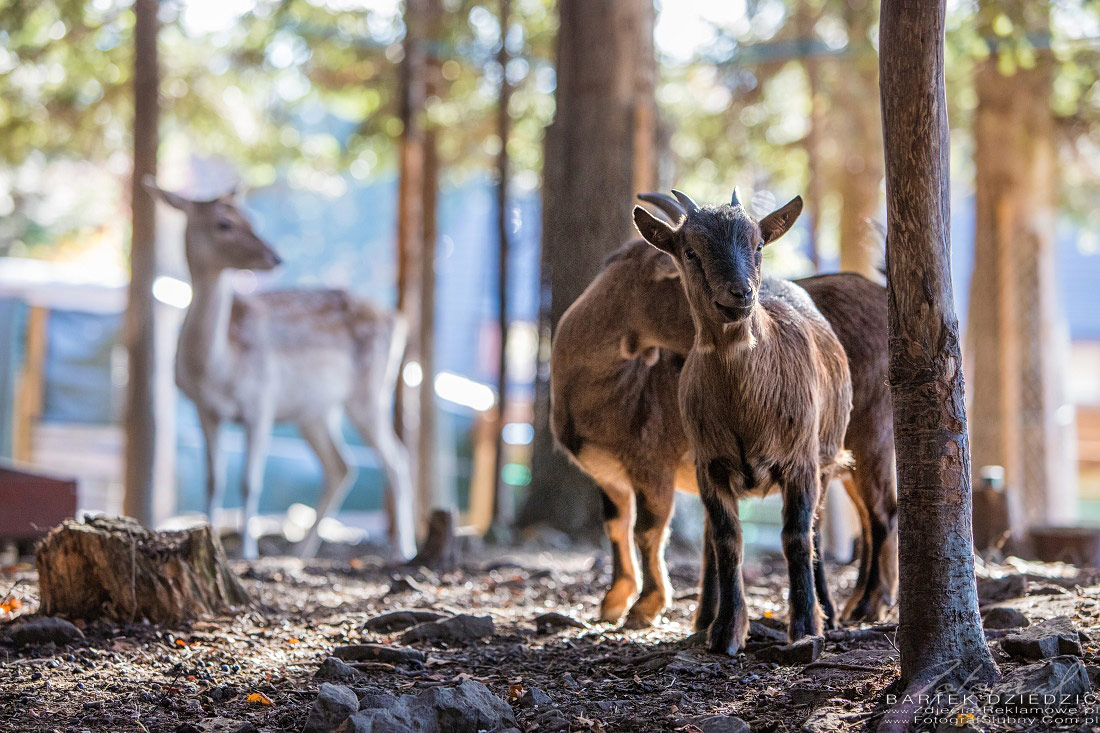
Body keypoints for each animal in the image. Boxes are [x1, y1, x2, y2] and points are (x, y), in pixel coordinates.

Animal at [554, 203, 897, 629]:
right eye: (687, 256)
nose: (747, 301)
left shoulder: (653, 463)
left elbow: (649, 529)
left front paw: (646, 606)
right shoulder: (608, 475)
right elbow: (616, 526)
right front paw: (613, 601)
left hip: (872, 433)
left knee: (882, 513)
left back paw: (868, 605)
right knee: (866, 516)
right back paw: (861, 603)